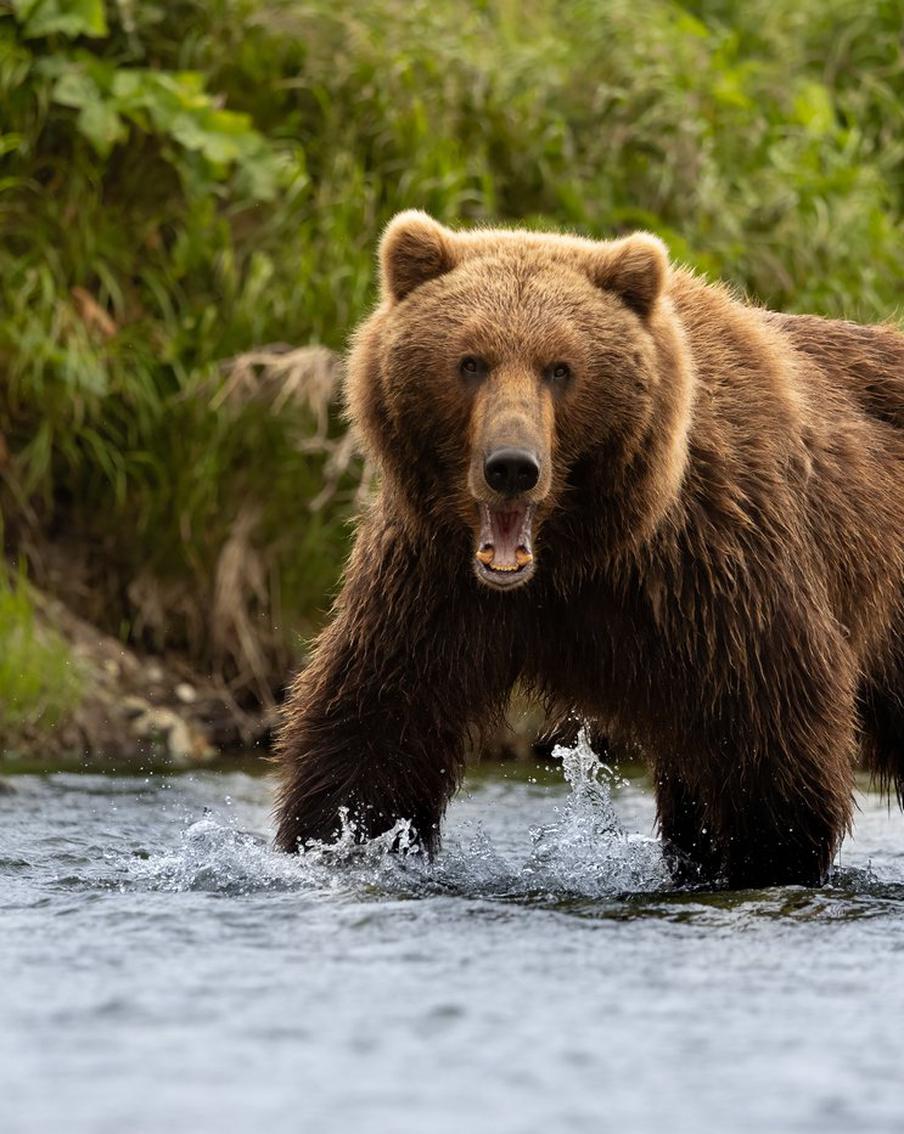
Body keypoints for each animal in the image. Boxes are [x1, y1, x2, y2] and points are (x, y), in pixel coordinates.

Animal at [274, 210, 904, 890]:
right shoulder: (431, 583)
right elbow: (375, 726)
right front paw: (337, 840)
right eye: (470, 361)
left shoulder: (721, 569)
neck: (576, 554)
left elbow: (772, 743)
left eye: (560, 367)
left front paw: (766, 857)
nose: (512, 467)